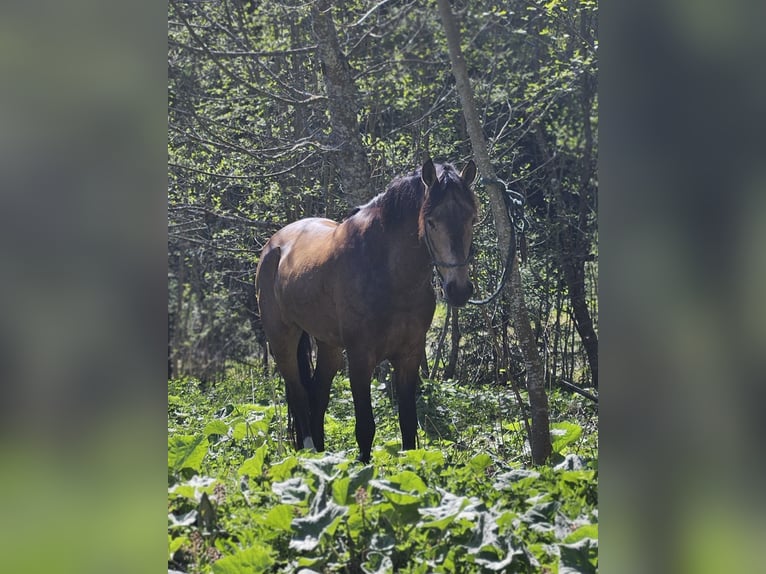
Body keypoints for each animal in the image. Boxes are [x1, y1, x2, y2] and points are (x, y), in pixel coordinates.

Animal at [255, 158, 478, 462]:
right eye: (431, 221)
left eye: (471, 218)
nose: (459, 289)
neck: (389, 273)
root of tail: (273, 246)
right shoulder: (360, 358)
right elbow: (365, 428)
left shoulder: (409, 355)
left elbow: (408, 424)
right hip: (282, 340)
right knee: (299, 395)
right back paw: (310, 454)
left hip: (329, 347)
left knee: (318, 394)